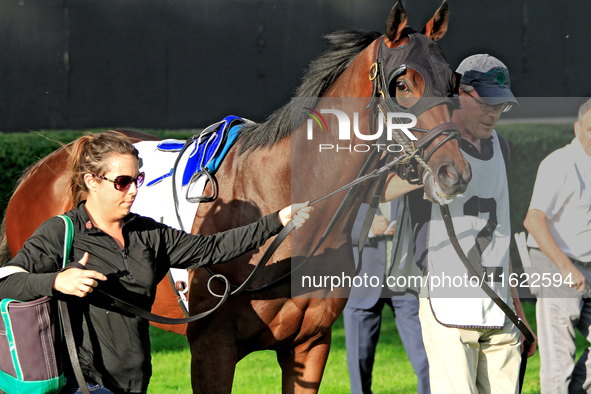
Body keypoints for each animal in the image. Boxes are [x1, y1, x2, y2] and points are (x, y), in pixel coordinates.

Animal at [0, 1, 472, 392]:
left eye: (453, 81)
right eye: (402, 83)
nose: (454, 173)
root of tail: (44, 169)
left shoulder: (310, 346)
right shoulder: (212, 348)